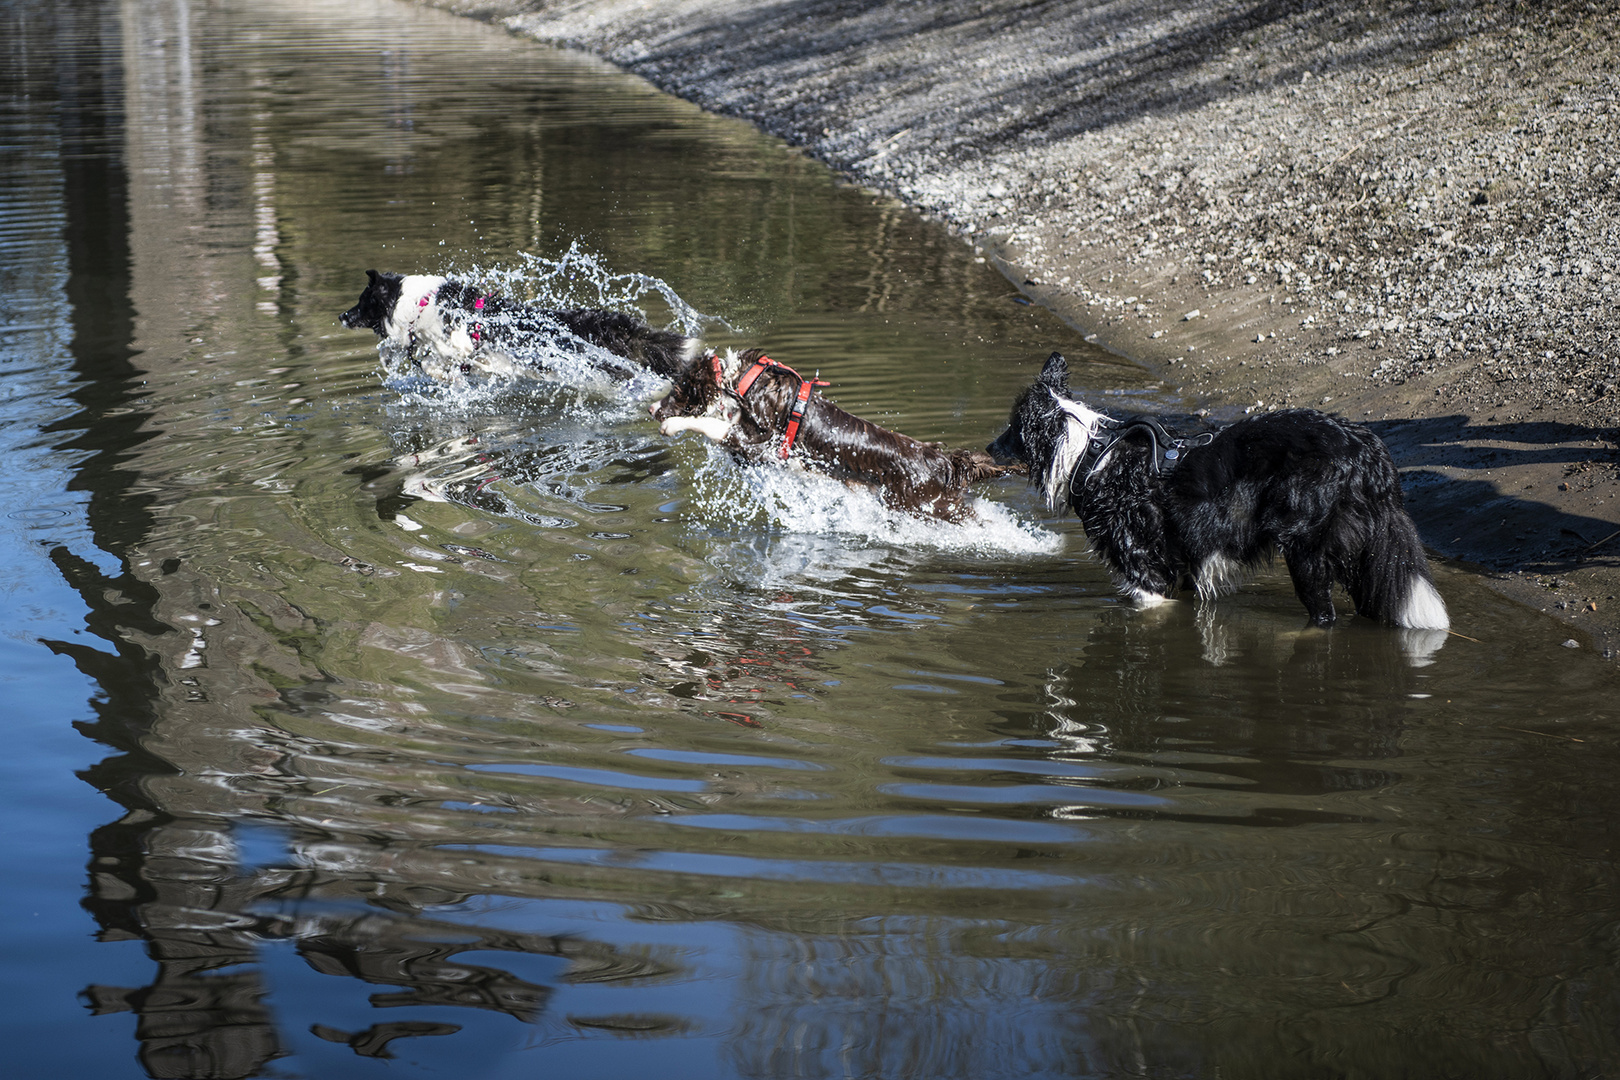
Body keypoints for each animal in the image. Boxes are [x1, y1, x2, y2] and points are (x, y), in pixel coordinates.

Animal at [984, 351, 1458, 628]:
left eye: (1011, 429)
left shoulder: (1148, 576)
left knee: (1324, 616)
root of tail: (1368, 448)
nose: (986, 447)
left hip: (1305, 549)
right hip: (1365, 555)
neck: (1090, 455)